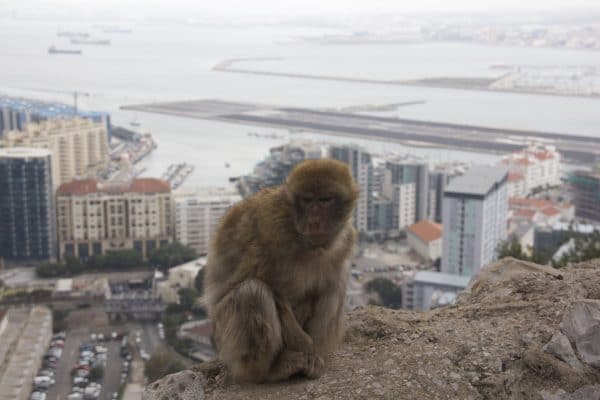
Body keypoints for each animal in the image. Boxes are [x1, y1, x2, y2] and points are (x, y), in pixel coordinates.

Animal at [204, 158, 358, 382]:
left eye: (325, 200)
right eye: (307, 200)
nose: (314, 221)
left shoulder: (346, 239)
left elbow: (328, 284)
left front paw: (314, 352)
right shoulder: (273, 230)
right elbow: (270, 288)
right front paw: (304, 344)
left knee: (335, 283)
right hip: (226, 340)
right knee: (251, 291)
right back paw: (269, 369)